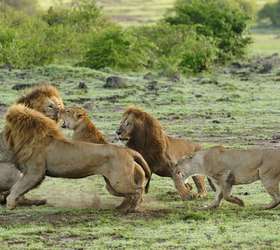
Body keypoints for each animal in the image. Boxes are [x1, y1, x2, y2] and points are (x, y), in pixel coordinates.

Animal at [3, 104, 151, 213]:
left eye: (67, 110)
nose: (58, 109)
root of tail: (128, 151)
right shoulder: (33, 173)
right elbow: (19, 188)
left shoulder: (35, 172)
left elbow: (17, 187)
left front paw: (10, 203)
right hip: (112, 185)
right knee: (132, 192)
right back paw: (124, 207)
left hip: (119, 182)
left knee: (138, 190)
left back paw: (133, 209)